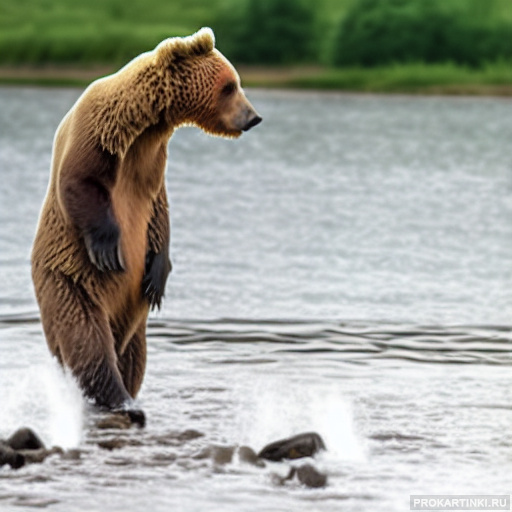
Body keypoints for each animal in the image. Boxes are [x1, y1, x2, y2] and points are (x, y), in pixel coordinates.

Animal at [32, 27, 262, 424]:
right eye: (230, 85)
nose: (253, 117)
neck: (145, 125)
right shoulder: (99, 132)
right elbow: (79, 179)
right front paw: (108, 247)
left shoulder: (151, 162)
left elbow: (159, 212)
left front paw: (159, 273)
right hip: (70, 281)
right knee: (87, 340)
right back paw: (120, 399)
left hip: (133, 319)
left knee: (133, 356)